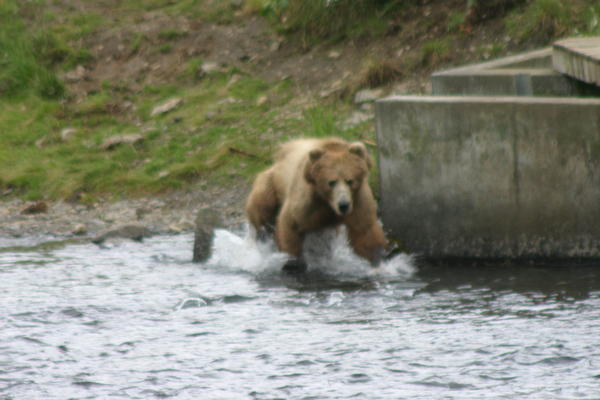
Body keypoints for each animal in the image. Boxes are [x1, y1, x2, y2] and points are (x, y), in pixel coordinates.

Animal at [245, 136, 390, 270]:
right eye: (331, 182)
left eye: (350, 181)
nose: (343, 205)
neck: (327, 202)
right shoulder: (307, 202)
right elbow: (291, 223)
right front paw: (293, 262)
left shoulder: (357, 200)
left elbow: (365, 231)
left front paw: (377, 259)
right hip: (270, 184)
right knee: (263, 208)